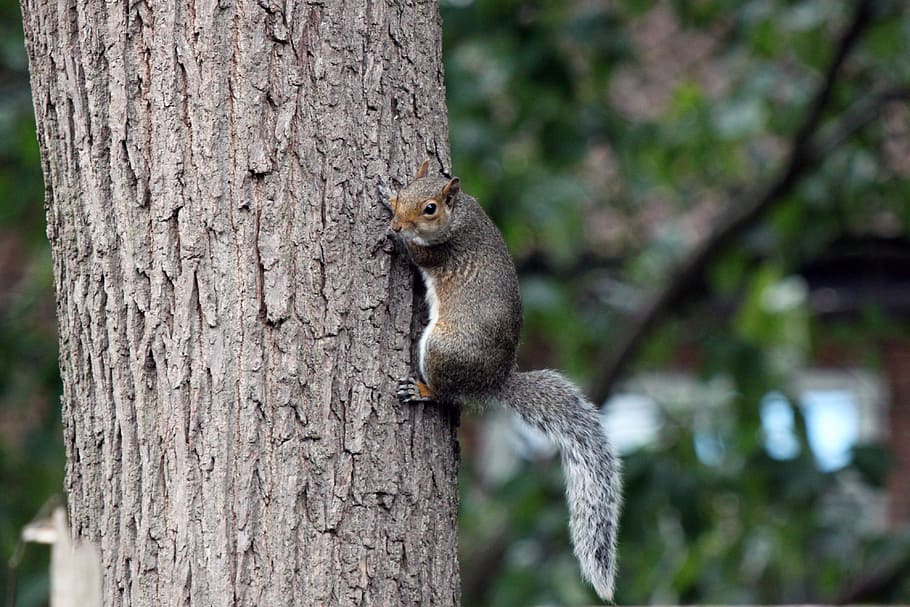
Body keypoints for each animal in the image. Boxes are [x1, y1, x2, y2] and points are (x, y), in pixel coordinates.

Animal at [381, 160, 621, 601]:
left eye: (429, 209)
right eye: (407, 191)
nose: (397, 224)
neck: (460, 215)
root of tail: (493, 381)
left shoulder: (439, 251)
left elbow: (418, 253)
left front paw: (394, 232)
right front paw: (386, 192)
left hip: (441, 348)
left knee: (446, 394)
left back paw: (422, 390)